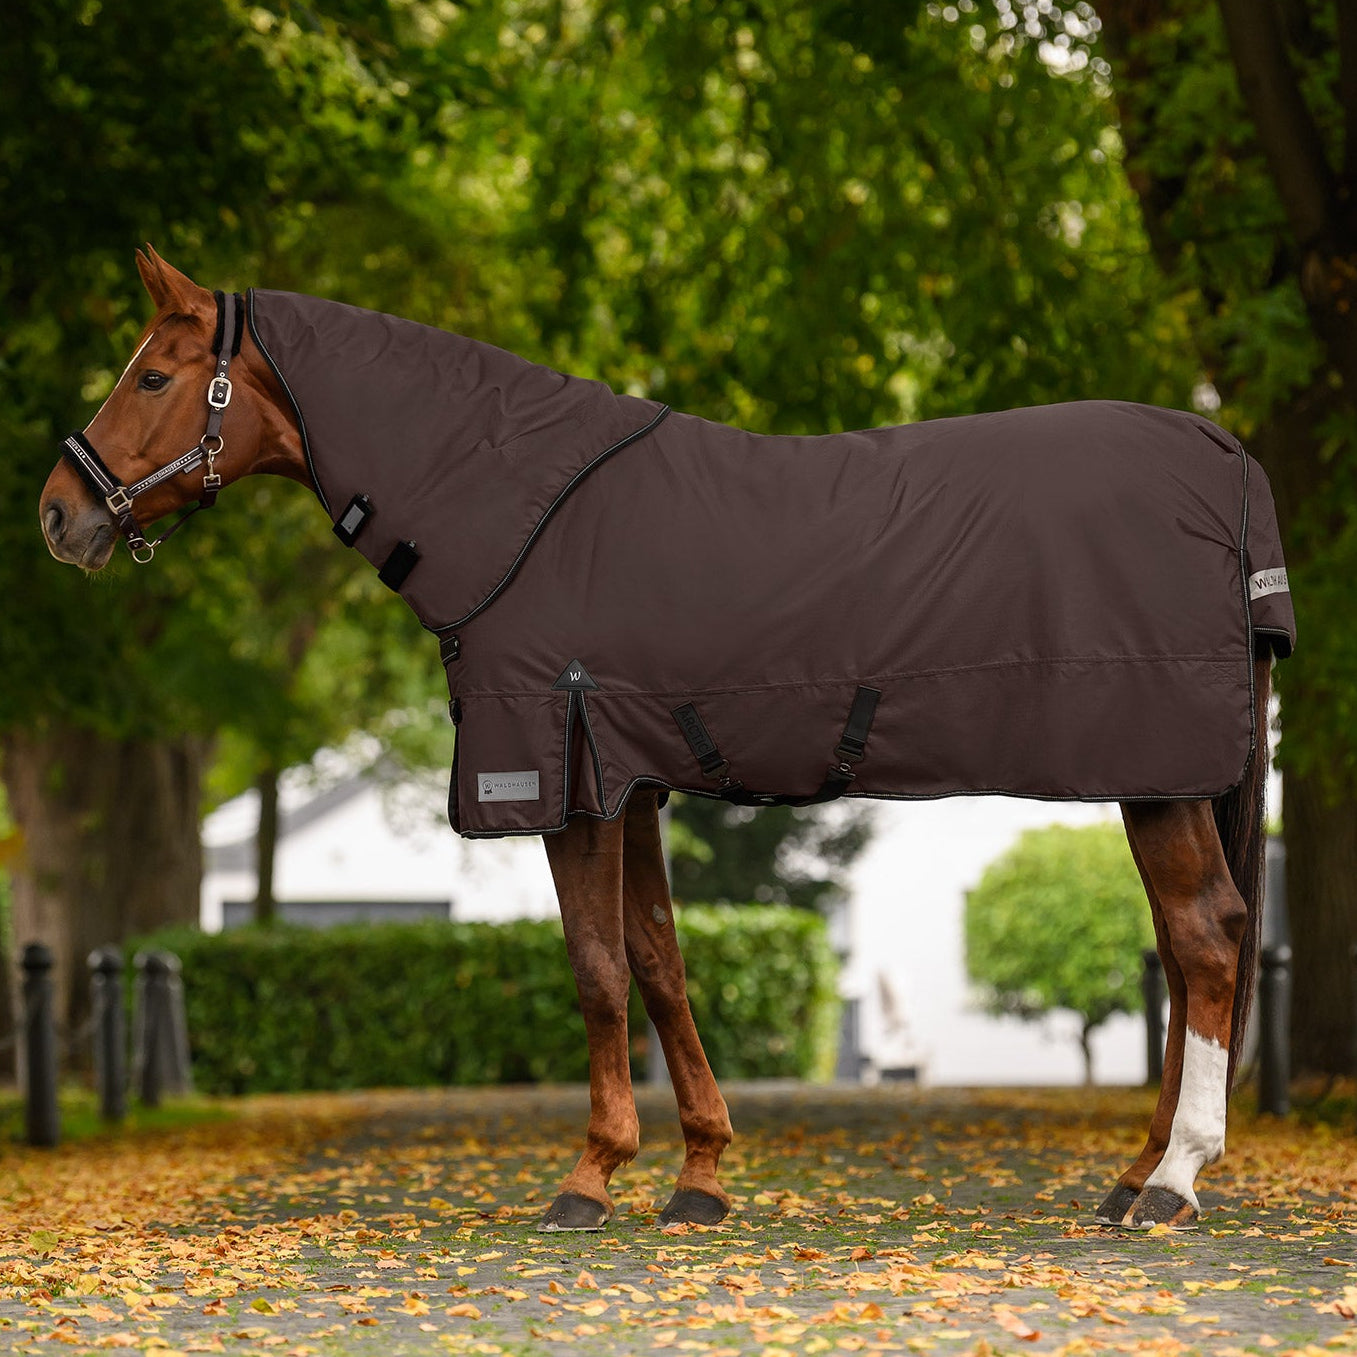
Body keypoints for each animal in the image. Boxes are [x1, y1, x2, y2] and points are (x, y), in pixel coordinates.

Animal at [40, 248, 1292, 1233]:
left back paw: (1174, 1181)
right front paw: (699, 1174)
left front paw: (590, 1179)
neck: (517, 510)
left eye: (153, 374)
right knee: (1183, 949)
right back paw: (1134, 1174)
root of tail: (1222, 456)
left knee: (1206, 940)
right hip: (1159, 779)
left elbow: (597, 972)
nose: (60, 512)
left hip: (1155, 776)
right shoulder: (627, 782)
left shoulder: (562, 775)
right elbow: (659, 963)